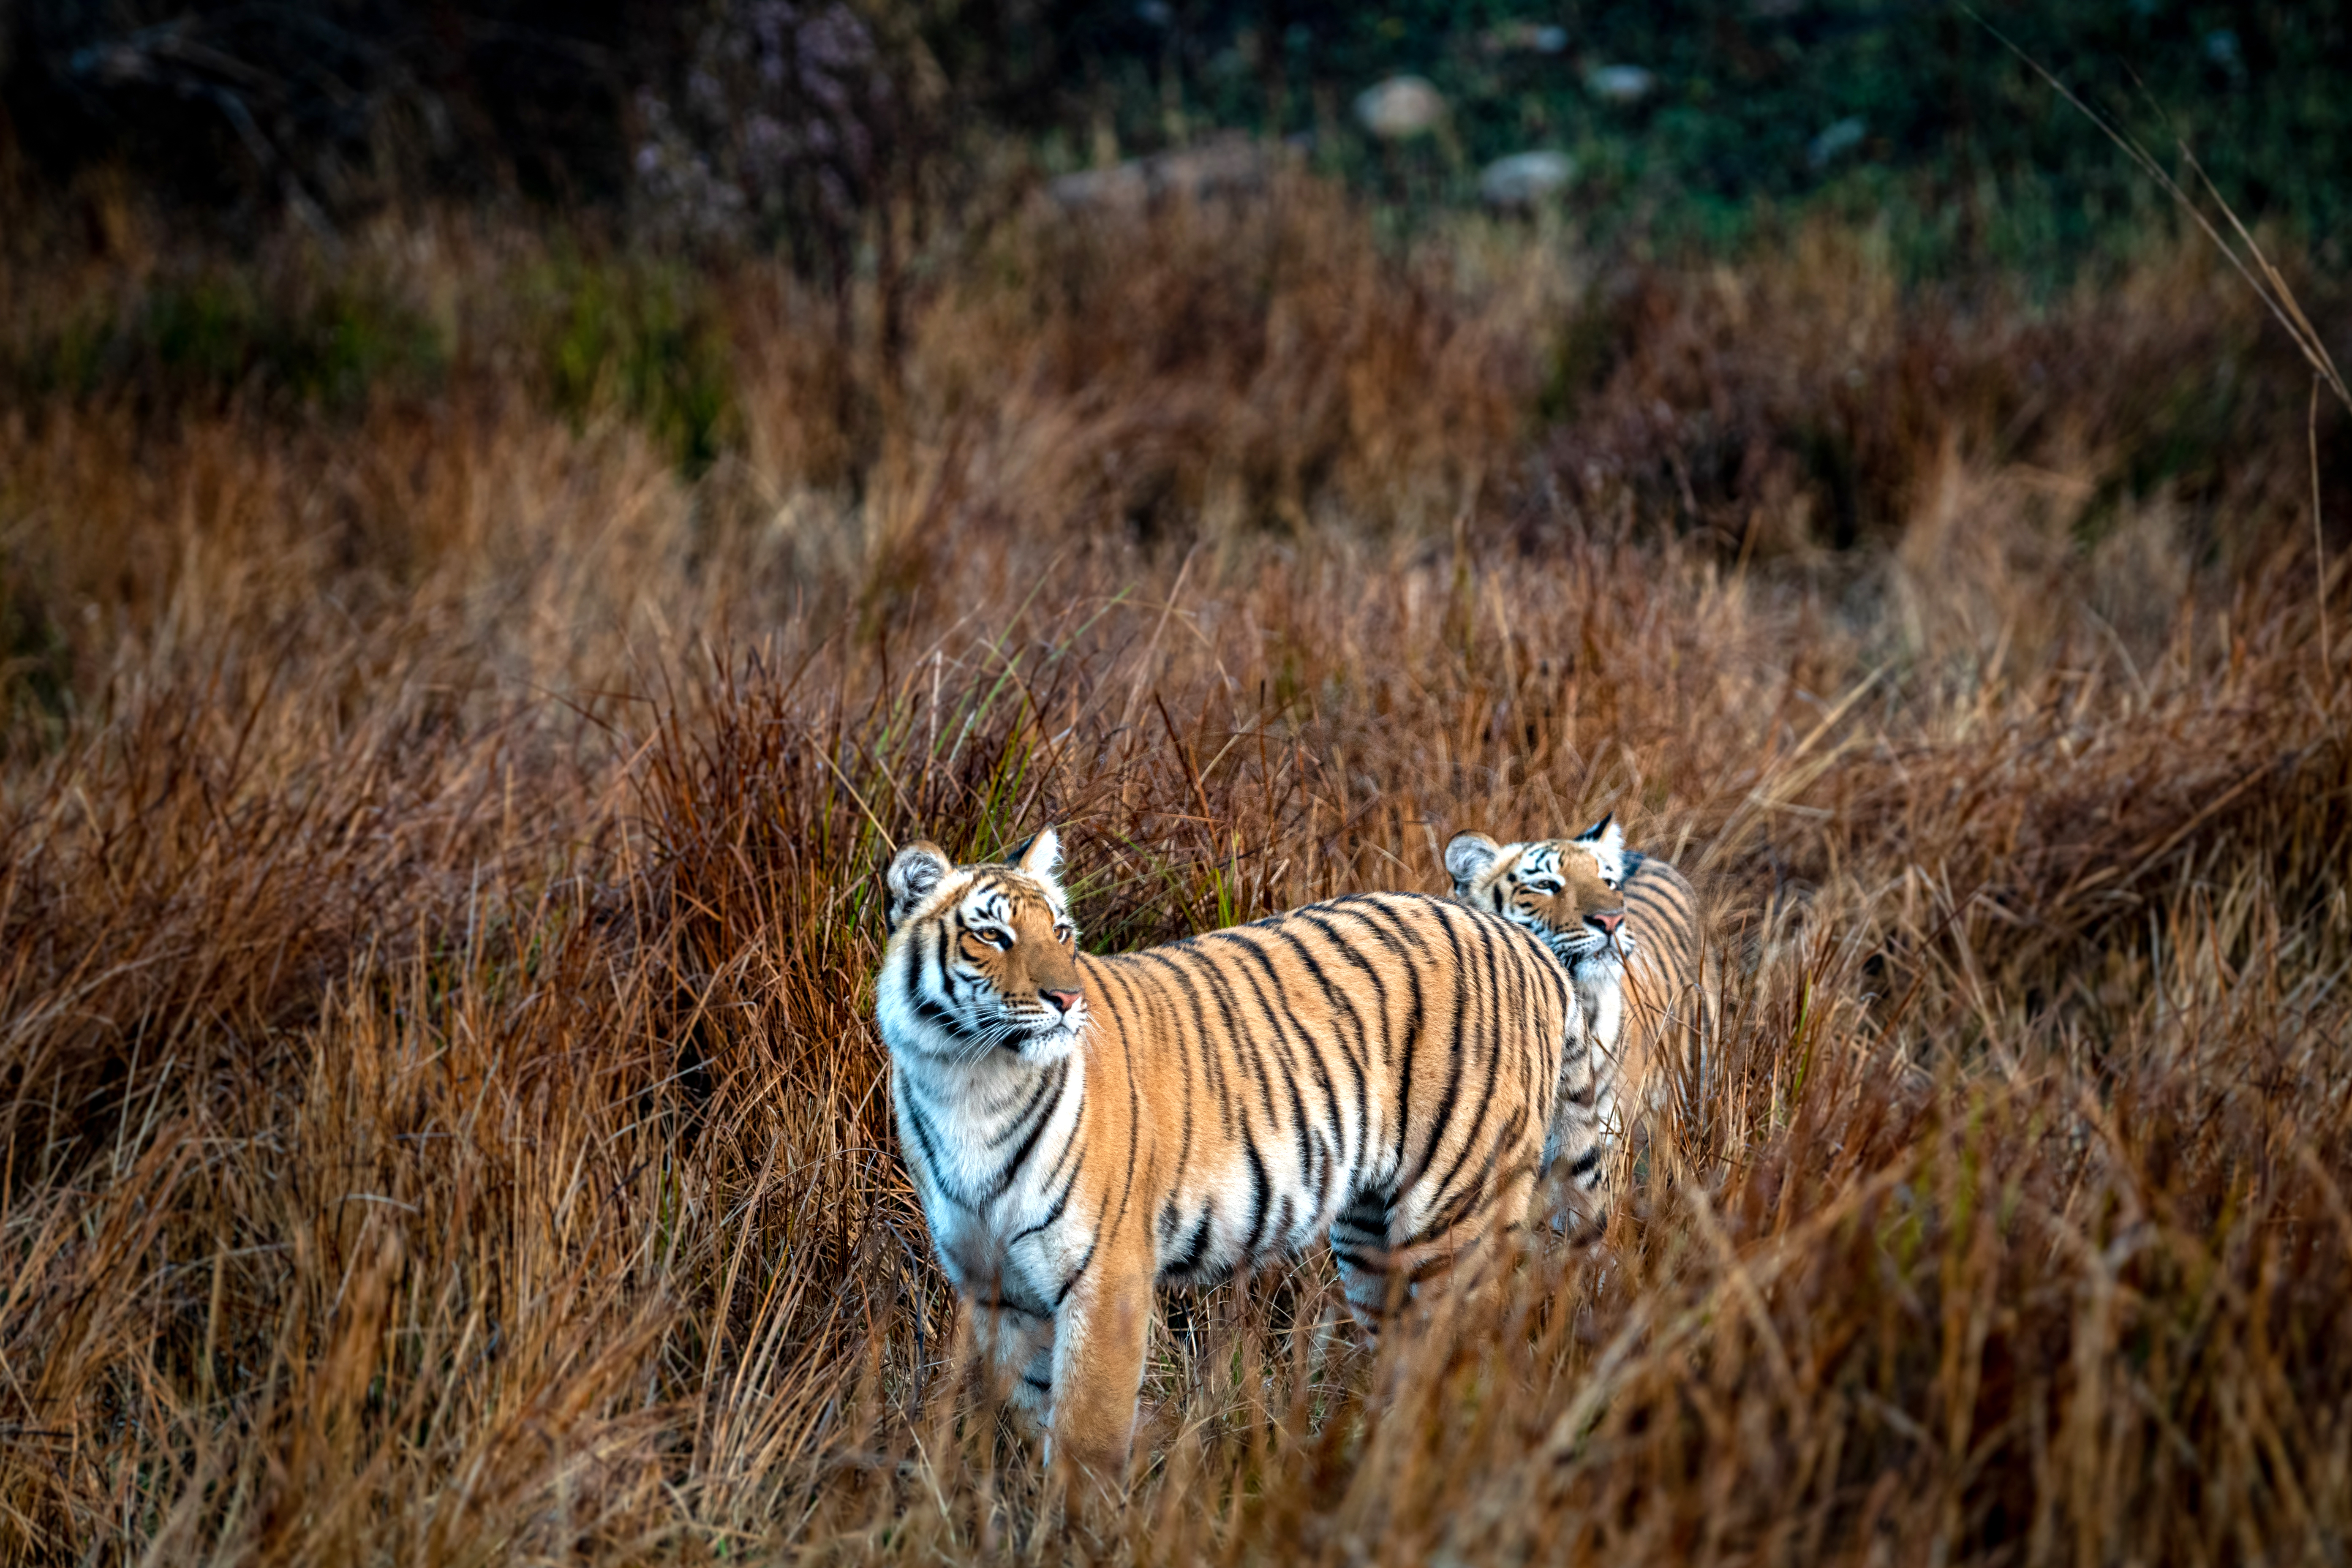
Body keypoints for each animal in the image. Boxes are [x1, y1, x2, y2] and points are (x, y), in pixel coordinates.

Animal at [876, 825, 1582, 1480]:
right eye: (993, 936)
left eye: (1062, 931)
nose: (1068, 1000)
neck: (970, 1083)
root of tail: (1524, 943)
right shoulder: (997, 1290)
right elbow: (1030, 1421)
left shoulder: (1105, 1282)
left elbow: (1083, 1440)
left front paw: (1076, 1522)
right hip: (1371, 1240)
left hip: (1457, 1221)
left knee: (1468, 1363)